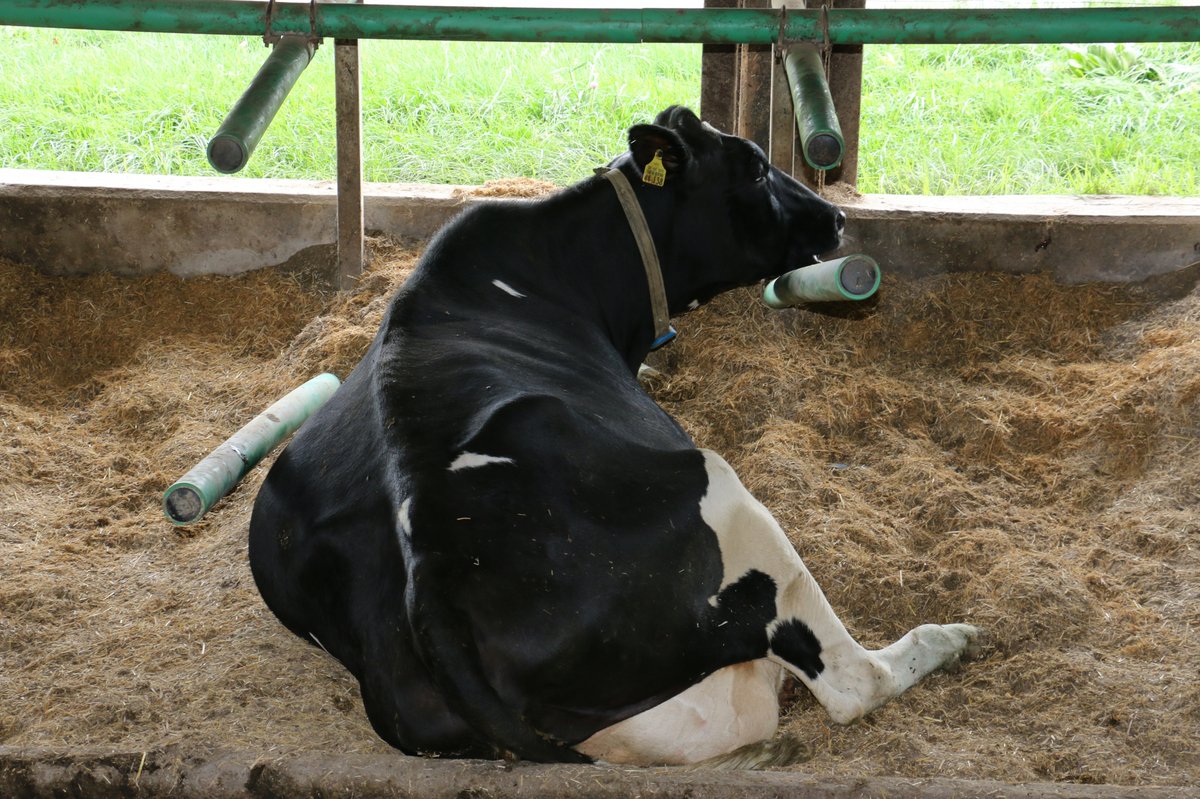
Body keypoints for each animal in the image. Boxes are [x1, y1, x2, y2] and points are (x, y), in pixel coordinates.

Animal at [248, 107, 979, 767]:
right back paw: (946, 638)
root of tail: (429, 573)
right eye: (755, 167)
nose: (835, 217)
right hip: (723, 496)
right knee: (851, 682)